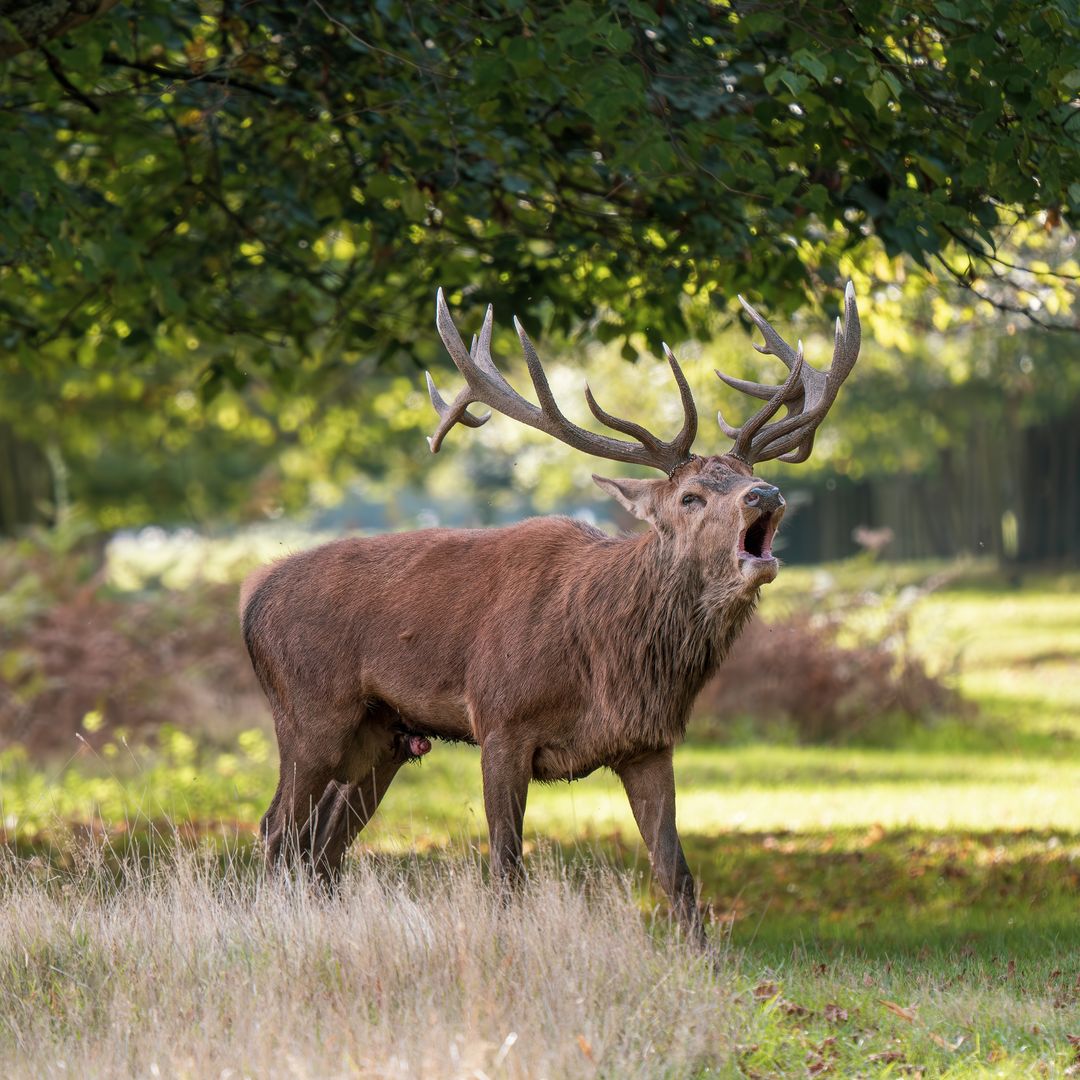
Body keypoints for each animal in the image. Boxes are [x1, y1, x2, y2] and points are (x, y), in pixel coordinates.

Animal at [241, 283, 860, 946]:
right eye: (691, 497)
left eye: (750, 476)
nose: (766, 495)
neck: (609, 663)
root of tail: (252, 604)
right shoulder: (500, 721)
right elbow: (507, 864)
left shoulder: (648, 743)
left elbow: (676, 872)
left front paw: (704, 958)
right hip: (310, 714)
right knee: (278, 830)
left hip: (383, 737)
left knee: (323, 846)